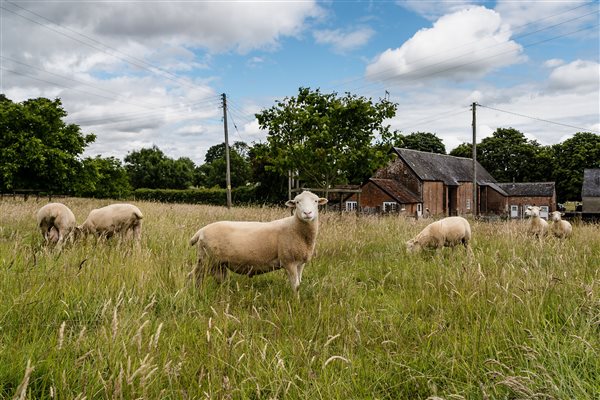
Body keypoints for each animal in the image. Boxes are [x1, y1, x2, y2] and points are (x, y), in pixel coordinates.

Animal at [189, 189, 326, 292]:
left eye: (315, 201)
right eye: (297, 202)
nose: (307, 213)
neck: (296, 228)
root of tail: (201, 231)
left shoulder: (300, 263)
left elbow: (299, 283)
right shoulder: (289, 261)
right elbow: (296, 286)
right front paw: (295, 303)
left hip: (218, 263)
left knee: (219, 278)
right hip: (206, 259)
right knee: (194, 275)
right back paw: (196, 293)